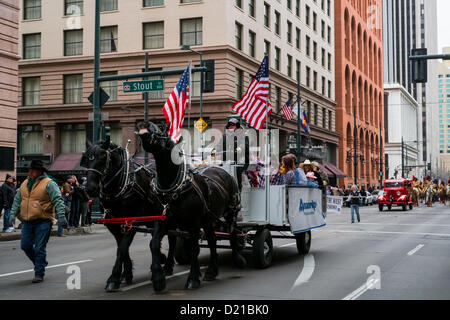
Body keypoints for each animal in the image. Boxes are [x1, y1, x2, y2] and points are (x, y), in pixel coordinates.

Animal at [80, 136, 174, 292]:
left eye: (103, 157)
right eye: (87, 158)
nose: (90, 189)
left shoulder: (131, 220)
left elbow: (123, 247)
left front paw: (114, 278)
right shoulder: (114, 223)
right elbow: (122, 247)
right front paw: (126, 274)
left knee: (171, 239)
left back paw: (167, 266)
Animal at [136, 121, 246, 292]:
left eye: (160, 130)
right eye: (143, 129)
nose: (143, 135)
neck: (172, 188)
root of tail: (222, 171)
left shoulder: (193, 224)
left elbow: (194, 248)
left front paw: (193, 278)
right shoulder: (162, 221)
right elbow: (154, 244)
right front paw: (158, 278)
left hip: (231, 212)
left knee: (233, 233)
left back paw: (238, 259)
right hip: (209, 219)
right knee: (212, 240)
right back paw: (211, 271)